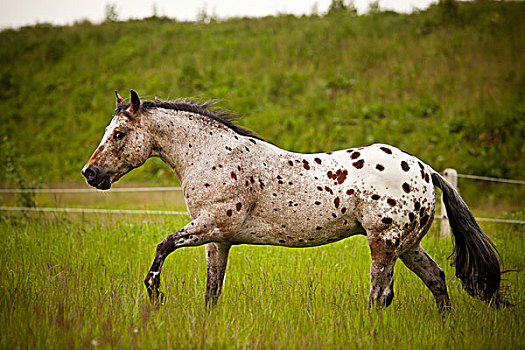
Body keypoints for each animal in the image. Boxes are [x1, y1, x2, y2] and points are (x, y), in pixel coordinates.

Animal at [82, 91, 504, 312]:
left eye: (119, 134)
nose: (90, 173)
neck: (209, 155)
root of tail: (423, 168)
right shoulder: (218, 240)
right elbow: (212, 290)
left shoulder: (212, 225)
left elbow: (162, 247)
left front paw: (155, 295)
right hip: (408, 244)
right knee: (436, 278)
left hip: (384, 244)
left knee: (380, 294)